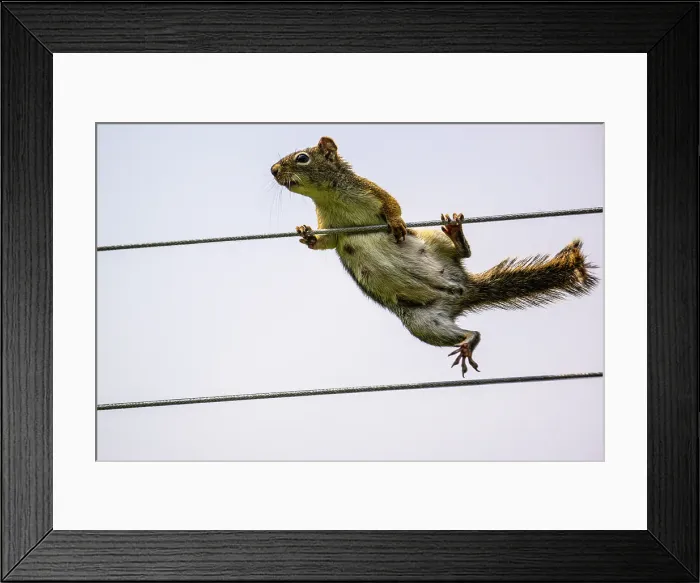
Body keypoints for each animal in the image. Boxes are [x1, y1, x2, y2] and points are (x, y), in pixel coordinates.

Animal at [271, 137, 598, 376]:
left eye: (302, 158)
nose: (273, 170)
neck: (329, 196)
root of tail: (463, 289)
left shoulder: (373, 191)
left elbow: (393, 206)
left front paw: (396, 224)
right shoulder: (331, 226)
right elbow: (325, 243)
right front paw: (307, 233)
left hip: (434, 241)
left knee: (464, 253)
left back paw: (456, 235)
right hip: (425, 325)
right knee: (470, 332)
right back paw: (468, 343)